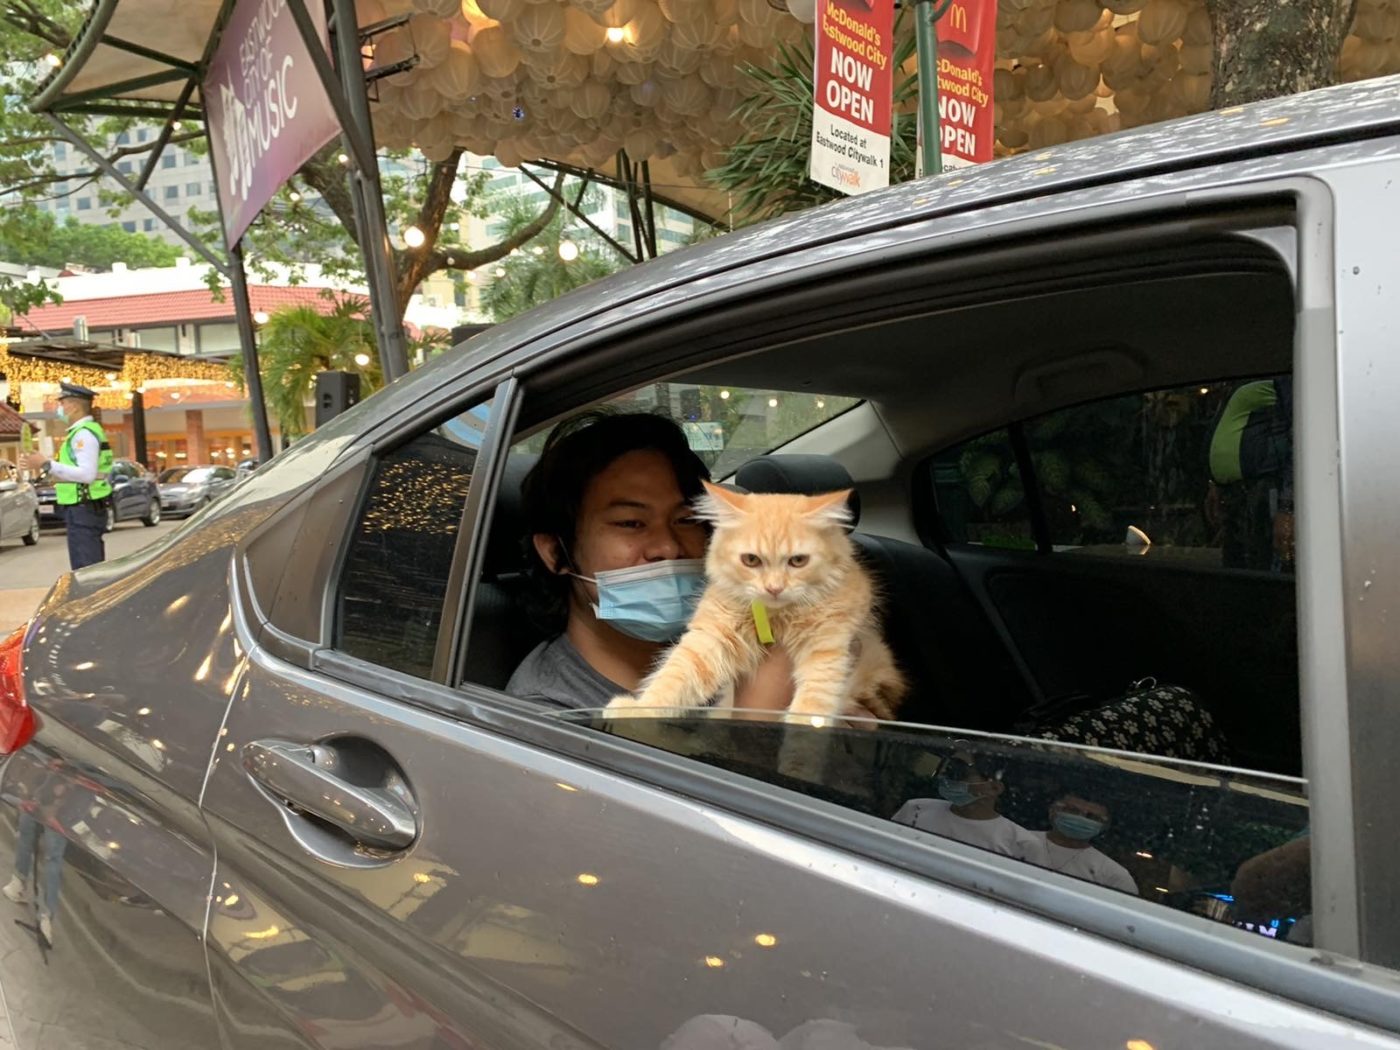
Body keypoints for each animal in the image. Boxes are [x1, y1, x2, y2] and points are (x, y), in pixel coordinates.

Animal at [602, 484, 907, 722]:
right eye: (751, 560)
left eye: (798, 561)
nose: (774, 588)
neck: (775, 617)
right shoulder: (712, 638)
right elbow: (673, 679)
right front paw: (637, 710)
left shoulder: (826, 647)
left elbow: (812, 705)